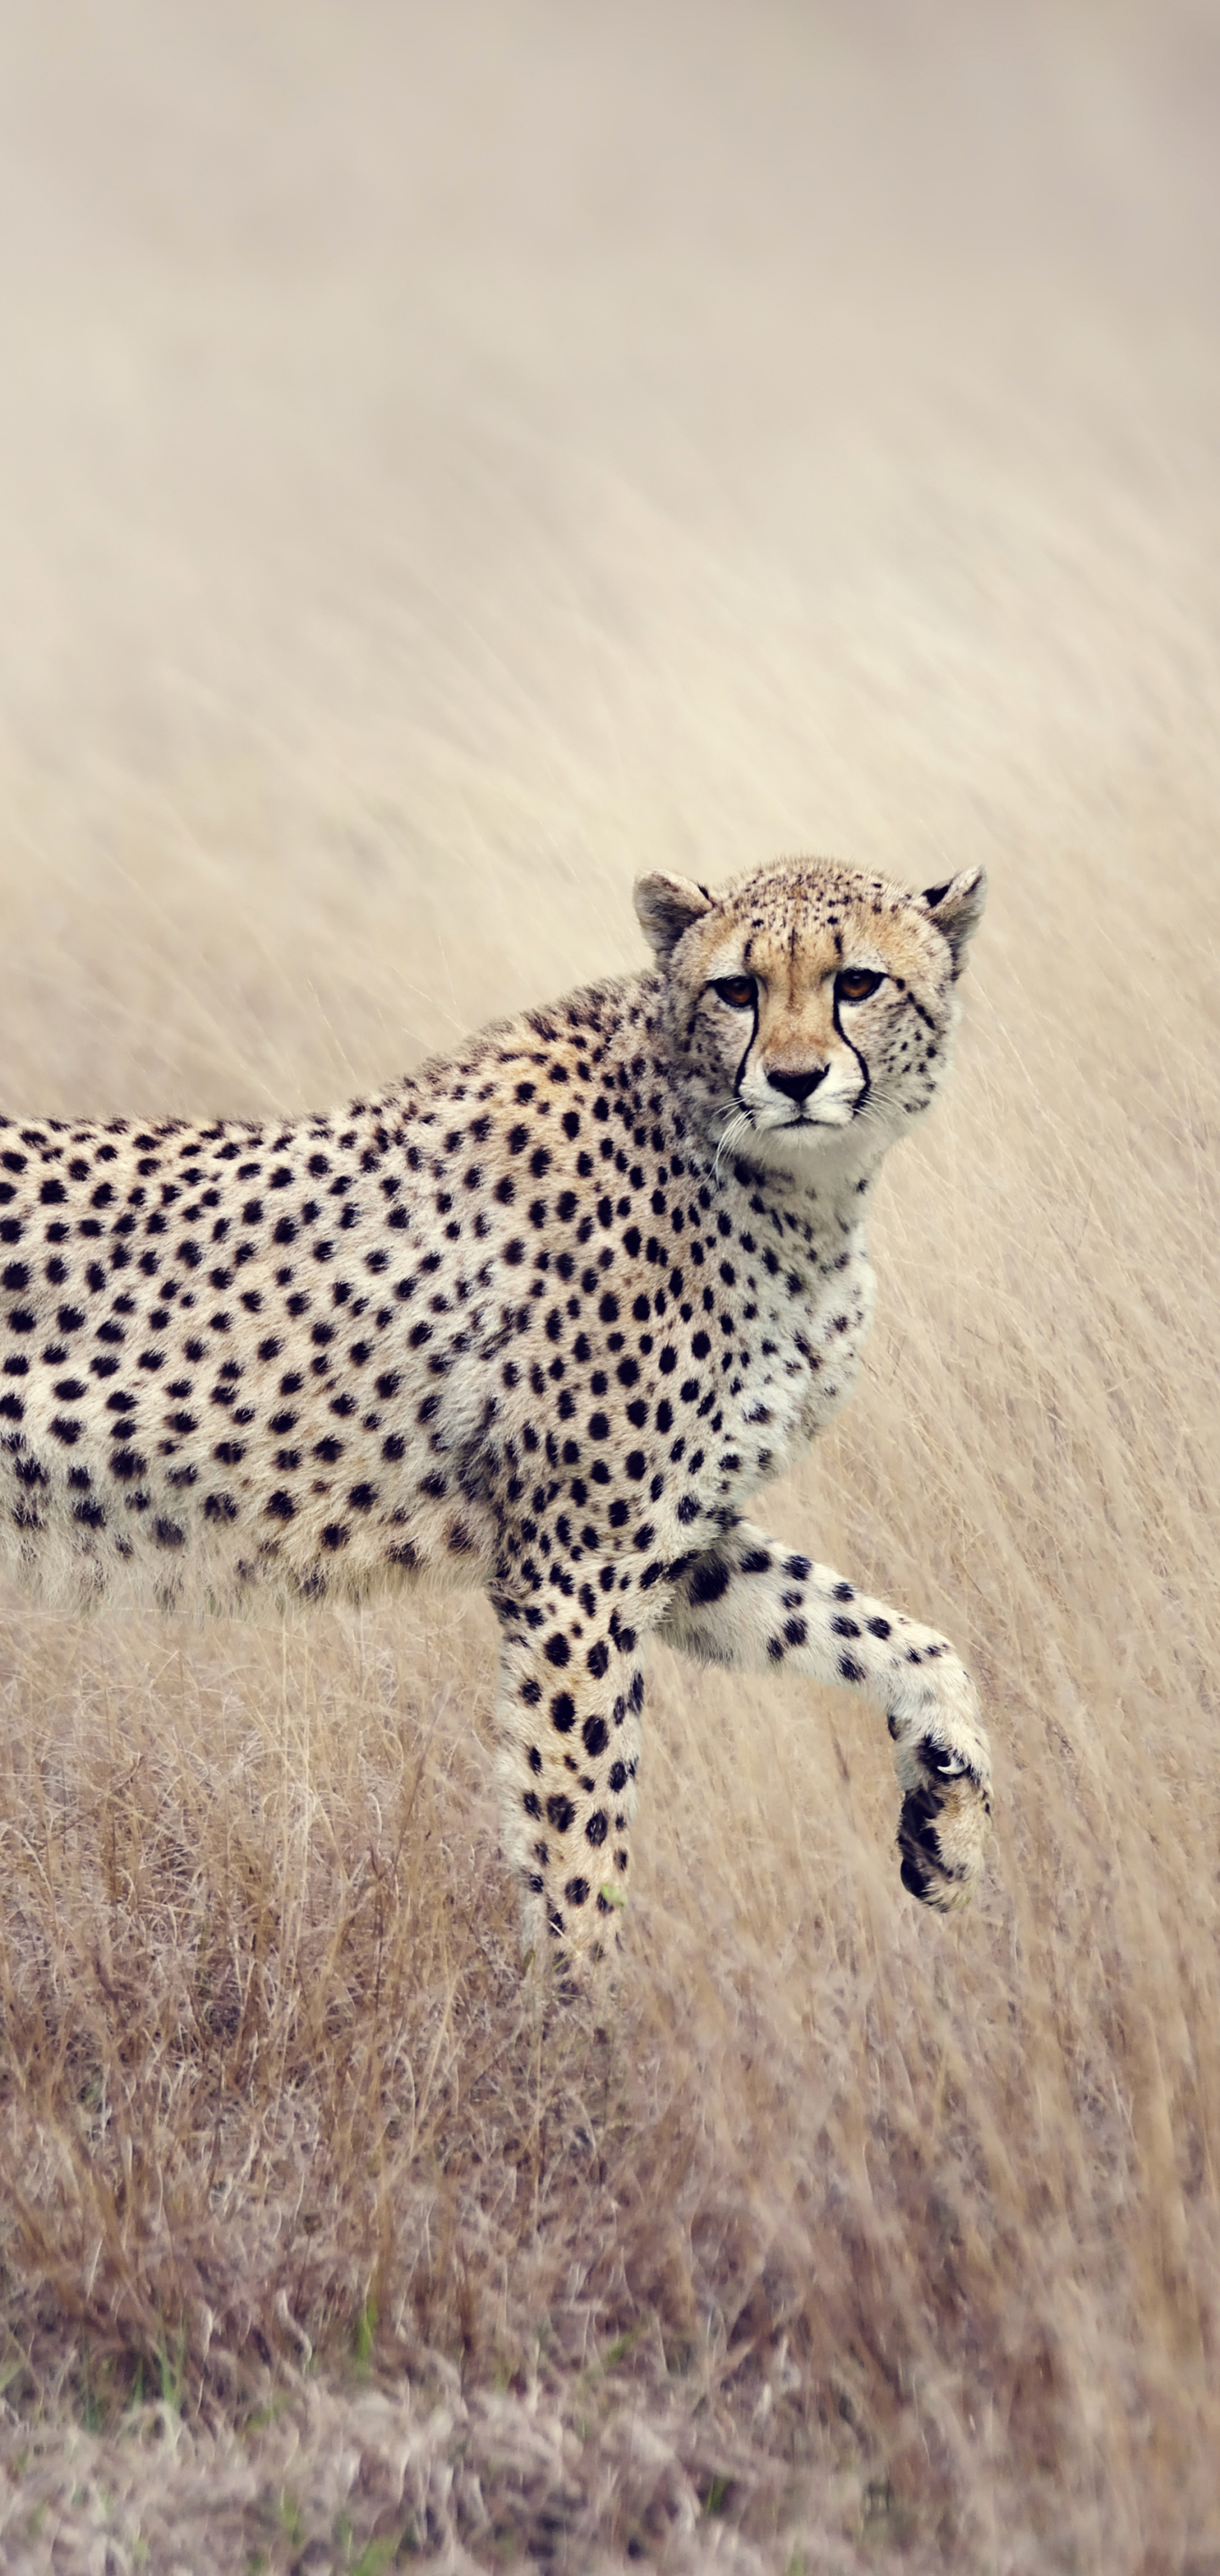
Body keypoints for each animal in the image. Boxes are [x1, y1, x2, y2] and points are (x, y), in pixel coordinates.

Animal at [0, 855, 993, 1978]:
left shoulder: (672, 1541)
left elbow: (897, 1639)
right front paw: (575, 2016)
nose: (791, 1079)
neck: (786, 1189)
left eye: (857, 982)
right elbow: (582, 1841)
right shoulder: (578, 1570)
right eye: (737, 989)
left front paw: (949, 1814)